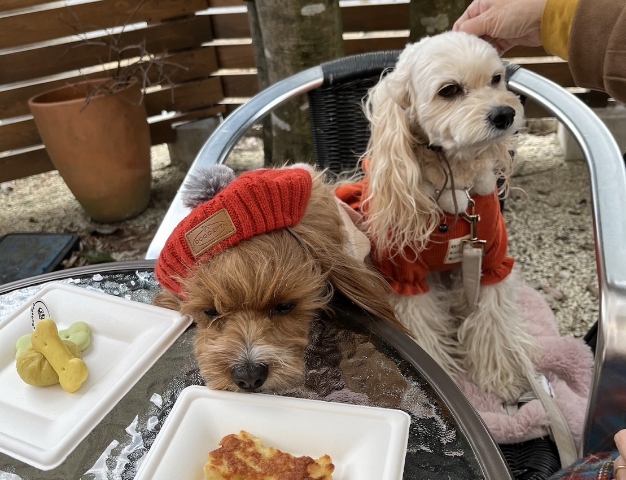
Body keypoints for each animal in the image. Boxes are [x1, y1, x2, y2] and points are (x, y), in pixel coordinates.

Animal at [336, 31, 536, 404]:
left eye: (496, 79)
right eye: (449, 90)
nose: (505, 114)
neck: (456, 186)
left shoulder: (491, 261)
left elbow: (494, 322)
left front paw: (502, 377)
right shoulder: (405, 278)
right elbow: (422, 328)